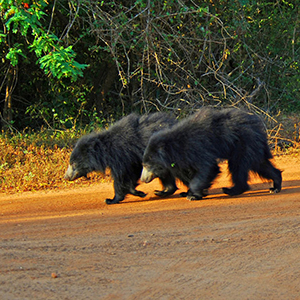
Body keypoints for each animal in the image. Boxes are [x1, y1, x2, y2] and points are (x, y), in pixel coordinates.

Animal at [141, 106, 282, 200]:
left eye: (147, 166)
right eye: (143, 165)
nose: (143, 179)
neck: (174, 148)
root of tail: (257, 126)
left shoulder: (197, 148)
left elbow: (208, 168)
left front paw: (193, 195)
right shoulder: (182, 159)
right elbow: (188, 173)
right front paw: (190, 192)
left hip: (243, 144)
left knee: (238, 166)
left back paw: (232, 190)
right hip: (252, 145)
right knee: (260, 164)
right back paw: (275, 186)